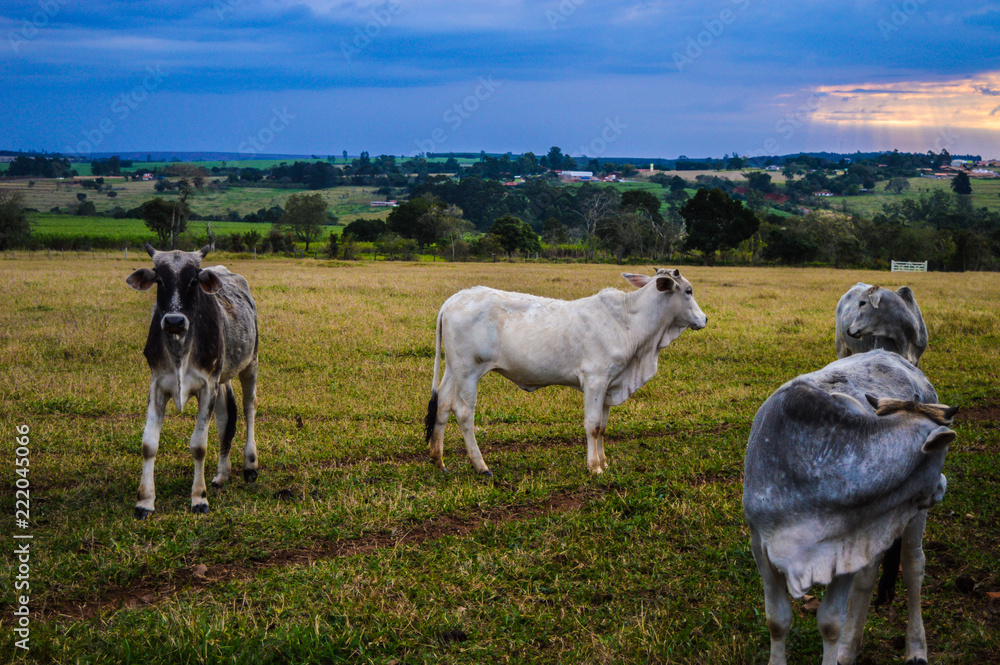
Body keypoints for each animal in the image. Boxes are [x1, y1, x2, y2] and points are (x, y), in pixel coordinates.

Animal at [125, 245, 260, 520]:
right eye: (159, 279)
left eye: (193, 281)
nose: (174, 321)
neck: (180, 349)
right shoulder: (158, 385)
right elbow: (148, 445)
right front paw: (145, 501)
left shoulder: (207, 386)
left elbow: (199, 446)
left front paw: (199, 498)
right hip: (222, 378)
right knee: (226, 418)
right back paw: (222, 475)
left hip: (250, 363)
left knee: (249, 409)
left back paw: (250, 464)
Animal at [426, 268, 708, 474]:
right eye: (688, 290)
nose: (704, 319)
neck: (627, 321)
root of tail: (453, 300)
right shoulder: (595, 380)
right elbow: (593, 425)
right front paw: (594, 467)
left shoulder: (610, 383)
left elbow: (603, 426)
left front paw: (604, 461)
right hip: (468, 372)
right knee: (464, 413)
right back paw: (481, 465)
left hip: (453, 369)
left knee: (442, 404)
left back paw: (438, 460)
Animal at [744, 350, 952, 664]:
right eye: (941, 453)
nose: (942, 484)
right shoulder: (761, 544)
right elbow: (777, 620)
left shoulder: (847, 549)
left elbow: (830, 623)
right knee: (868, 576)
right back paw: (850, 648)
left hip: (914, 518)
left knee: (914, 566)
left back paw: (916, 649)